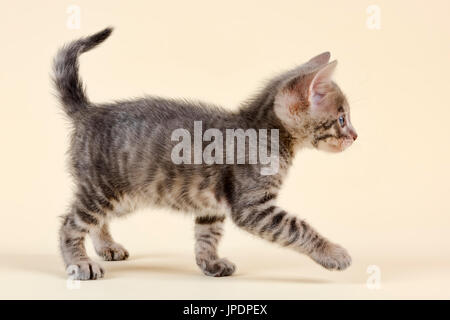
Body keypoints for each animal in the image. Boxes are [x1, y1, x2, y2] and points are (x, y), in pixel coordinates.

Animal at [54, 28, 358, 280]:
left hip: (127, 195)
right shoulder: (253, 207)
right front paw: (333, 253)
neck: (266, 134)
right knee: (71, 222)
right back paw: (79, 263)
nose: (356, 136)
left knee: (95, 221)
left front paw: (210, 262)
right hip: (103, 189)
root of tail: (90, 111)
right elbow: (298, 227)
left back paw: (106, 246)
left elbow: (207, 236)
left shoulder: (212, 206)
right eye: (342, 119)